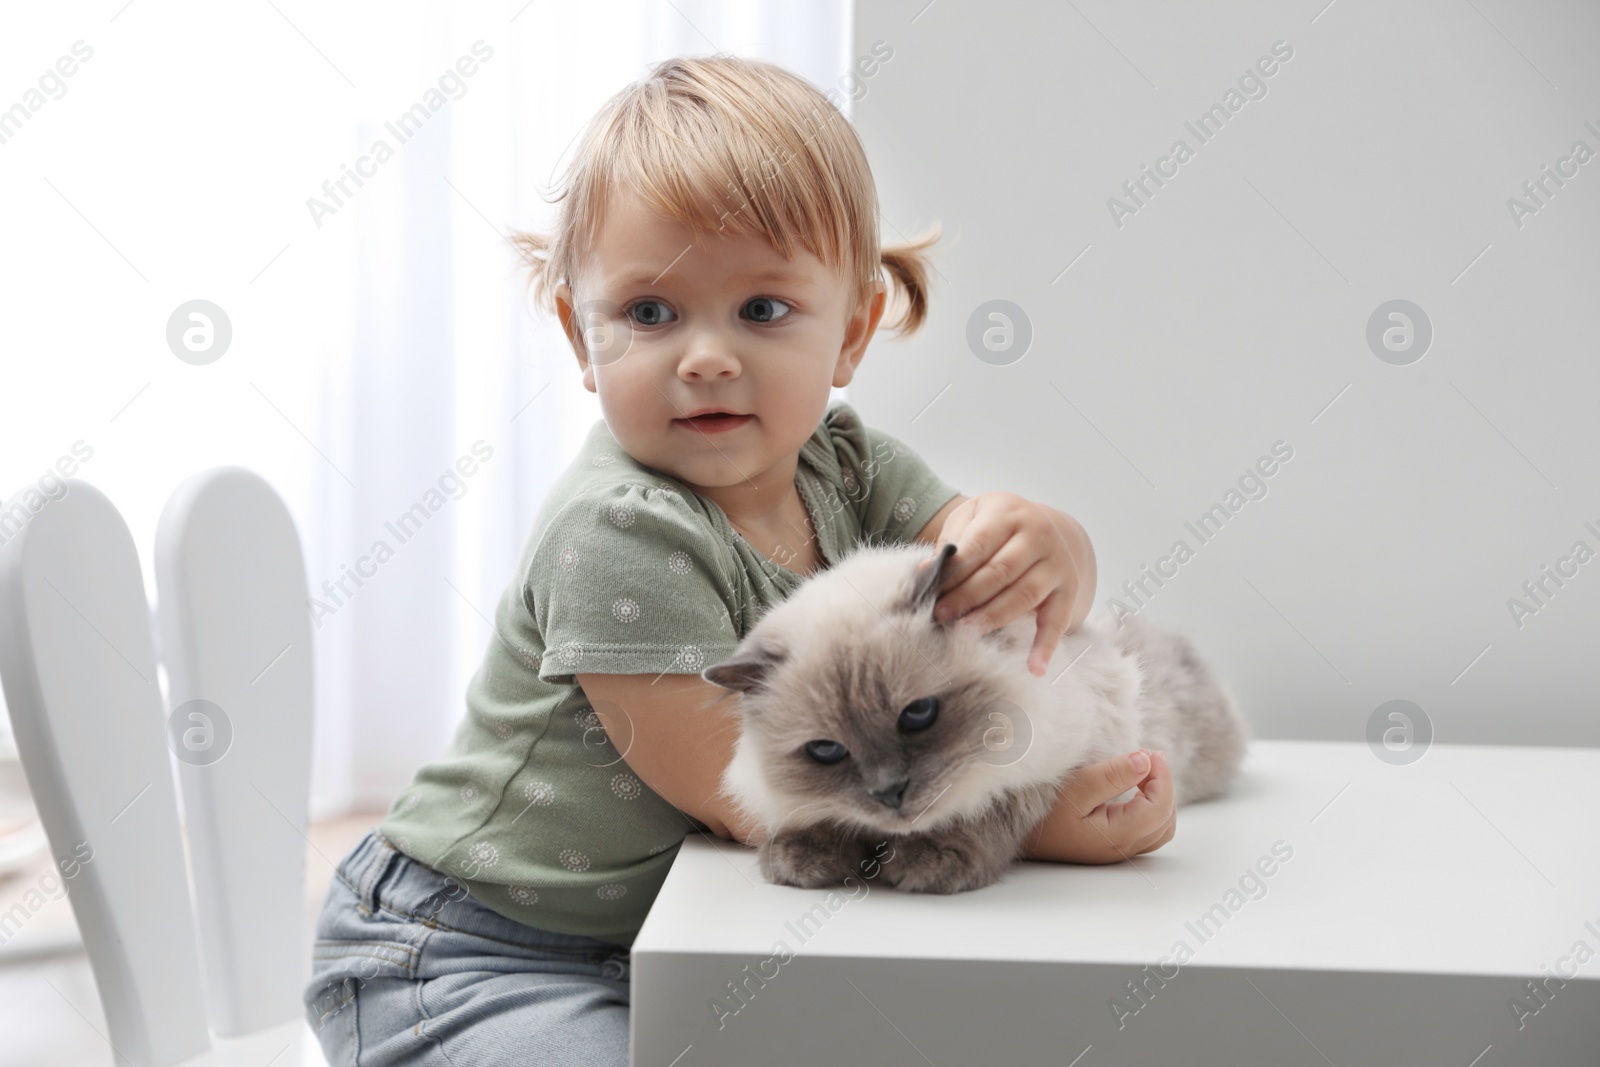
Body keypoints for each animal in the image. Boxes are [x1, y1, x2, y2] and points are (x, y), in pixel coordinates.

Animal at [704, 543, 1248, 895]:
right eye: (826, 751)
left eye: (918, 714)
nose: (889, 793)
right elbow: (813, 817)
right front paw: (800, 857)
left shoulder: (1059, 761)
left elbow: (990, 808)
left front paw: (930, 859)